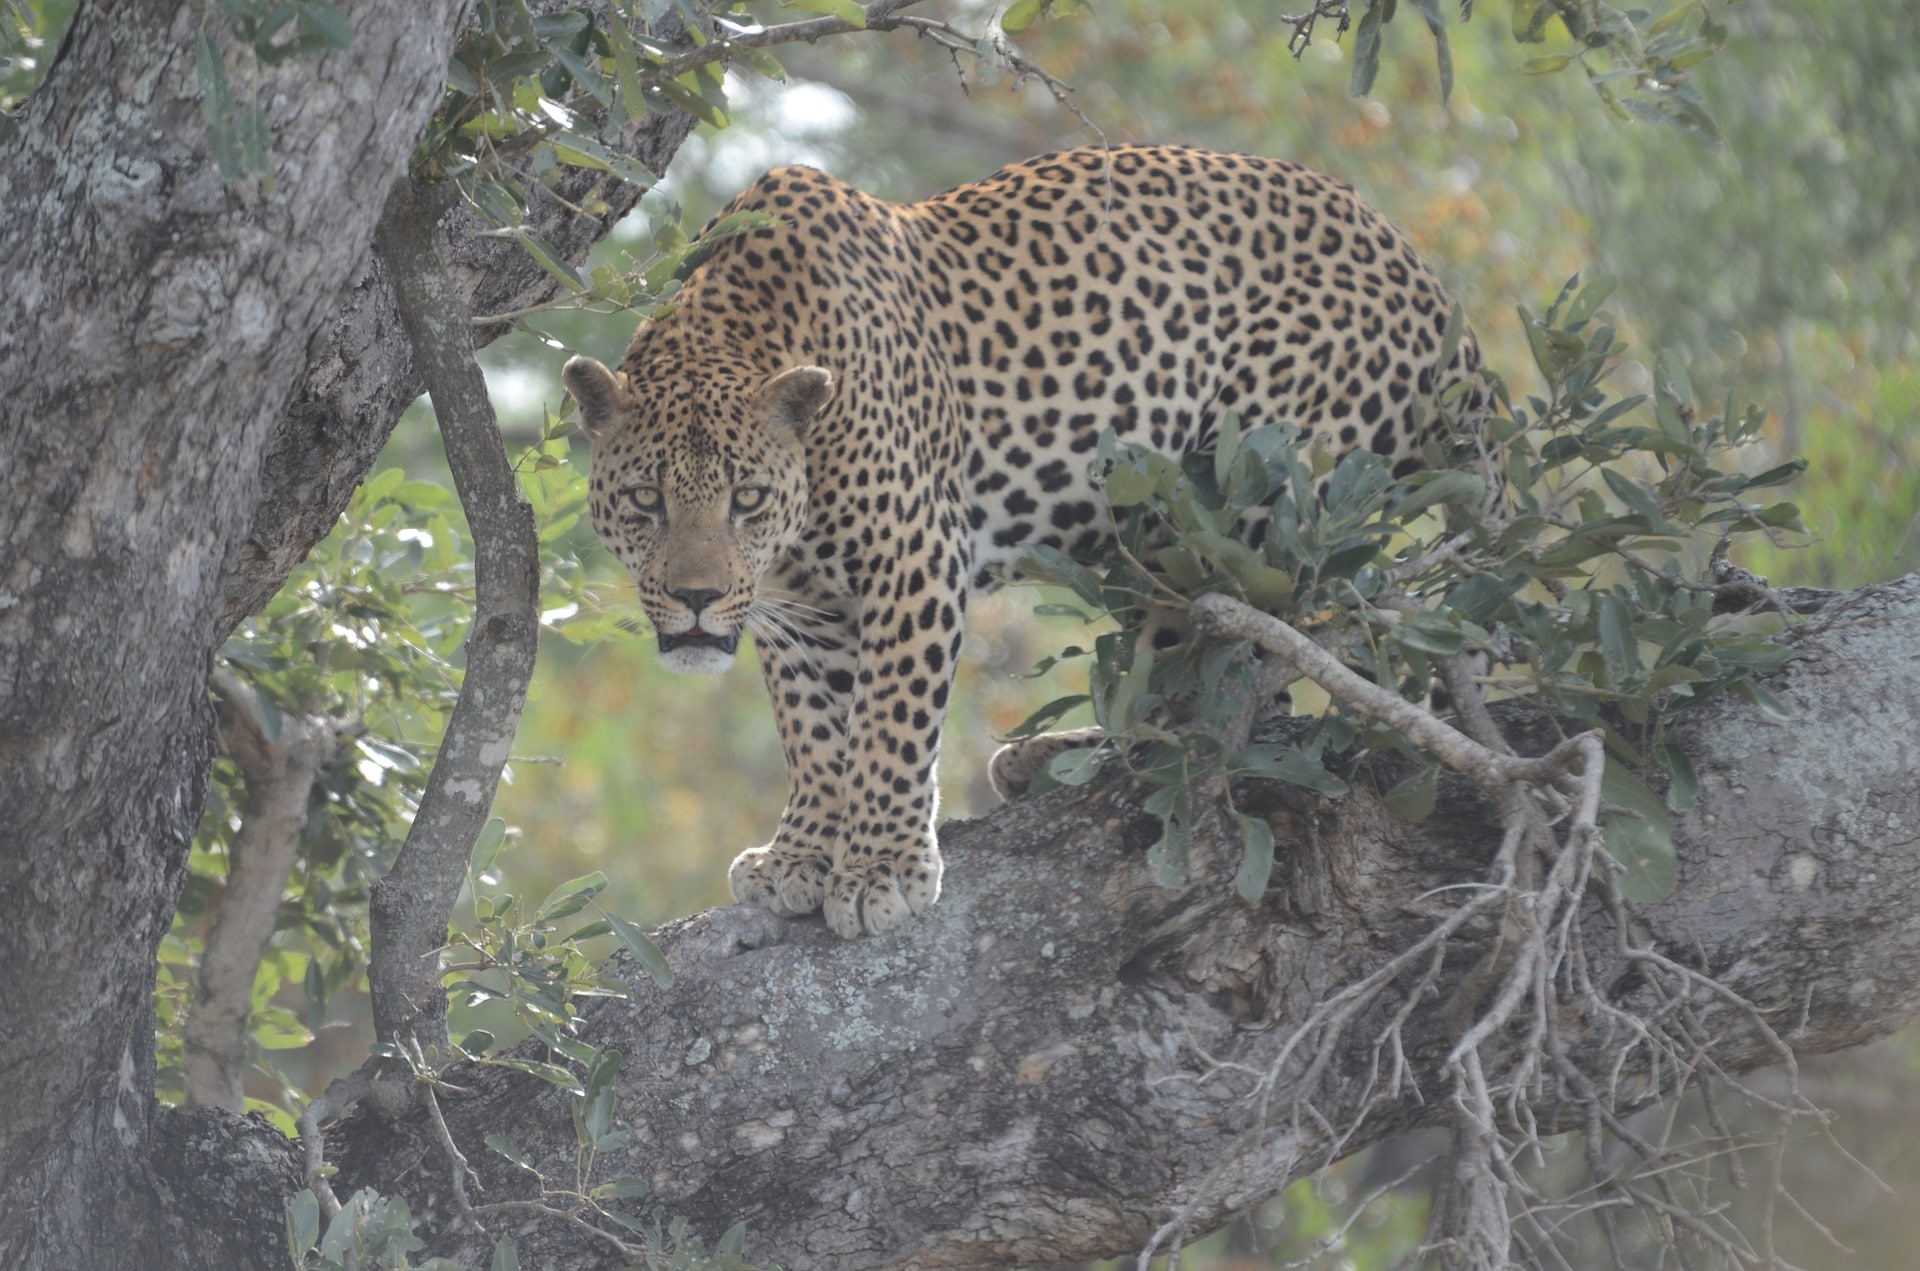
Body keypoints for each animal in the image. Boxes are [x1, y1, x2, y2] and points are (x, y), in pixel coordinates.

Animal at [560, 146, 1482, 944]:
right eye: (646, 500)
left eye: (745, 500)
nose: (697, 597)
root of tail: (1431, 286)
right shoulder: (799, 606)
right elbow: (817, 729)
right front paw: (805, 851)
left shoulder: (915, 555)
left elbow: (890, 721)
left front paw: (880, 869)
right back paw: (1053, 758)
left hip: (1247, 488)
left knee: (1228, 690)